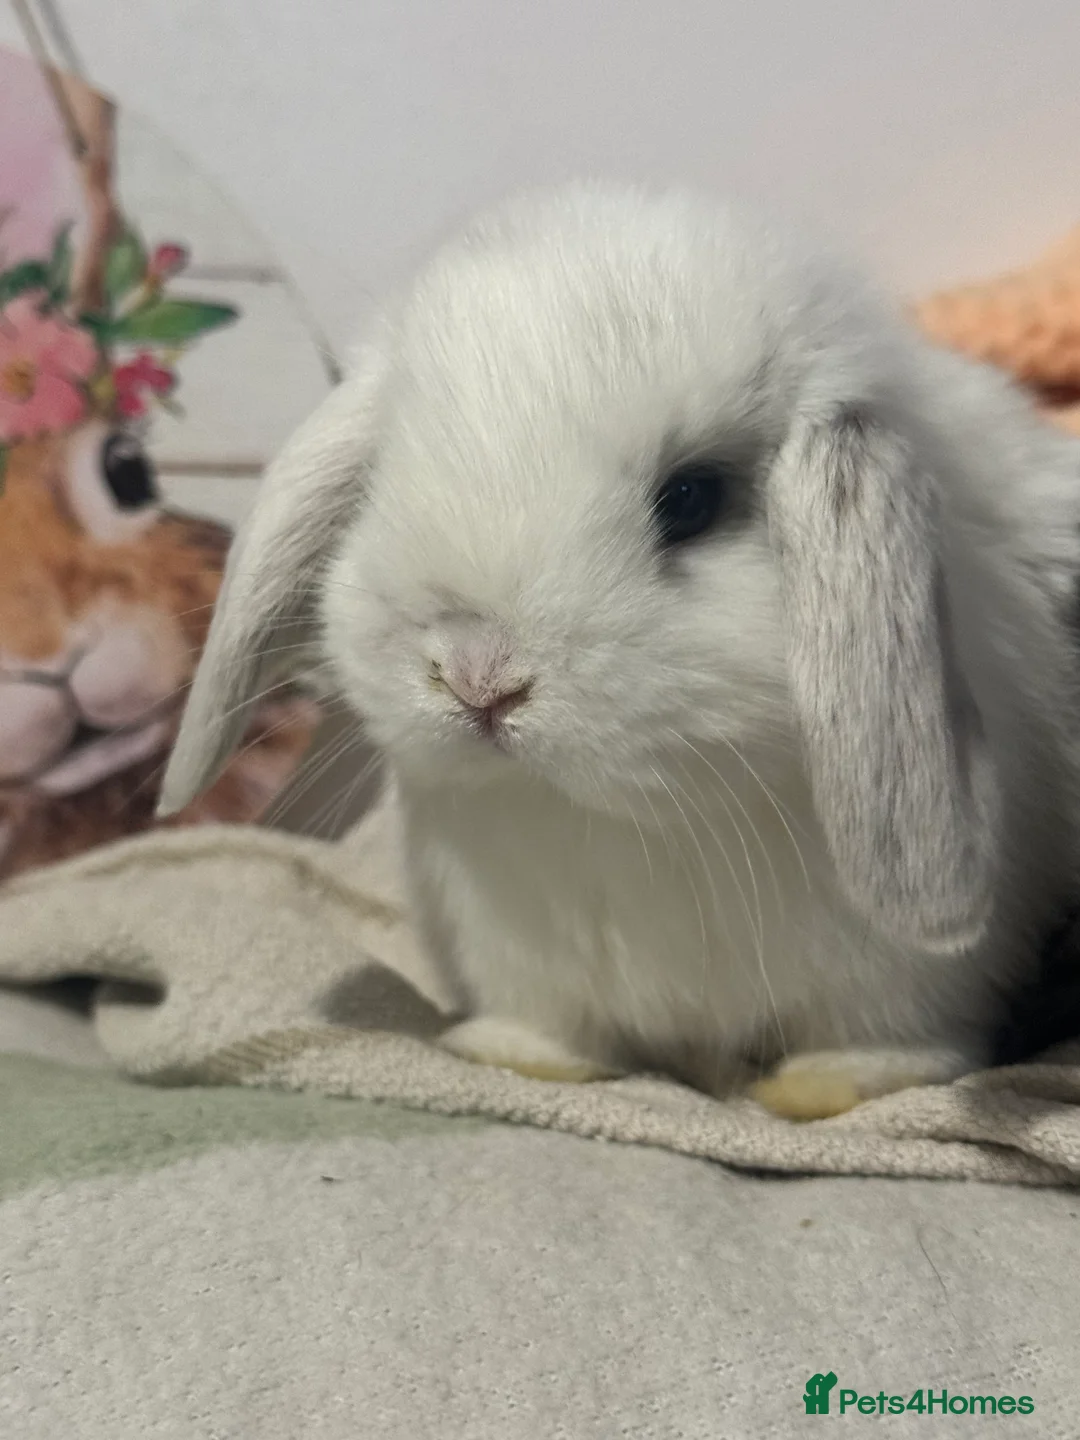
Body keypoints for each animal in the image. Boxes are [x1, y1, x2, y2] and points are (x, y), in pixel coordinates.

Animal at [159, 181, 1080, 1118]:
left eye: (692, 499)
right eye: (383, 477)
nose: (478, 678)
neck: (626, 822)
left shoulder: (908, 981)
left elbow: (895, 1045)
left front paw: (816, 1088)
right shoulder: (515, 956)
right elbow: (545, 1027)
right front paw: (516, 1056)